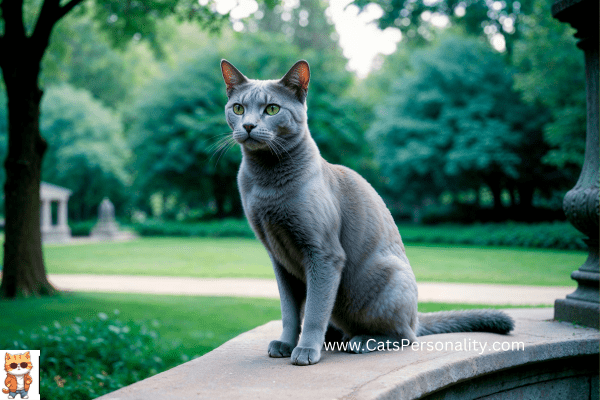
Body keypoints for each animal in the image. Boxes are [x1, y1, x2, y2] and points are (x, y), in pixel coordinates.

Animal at [220, 58, 516, 366]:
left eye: (272, 109)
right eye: (238, 108)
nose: (249, 125)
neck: (266, 184)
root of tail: (417, 316)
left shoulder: (323, 254)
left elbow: (314, 309)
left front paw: (305, 350)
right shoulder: (279, 258)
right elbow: (289, 312)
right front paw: (286, 344)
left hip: (387, 278)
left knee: (406, 335)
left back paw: (361, 341)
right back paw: (335, 337)